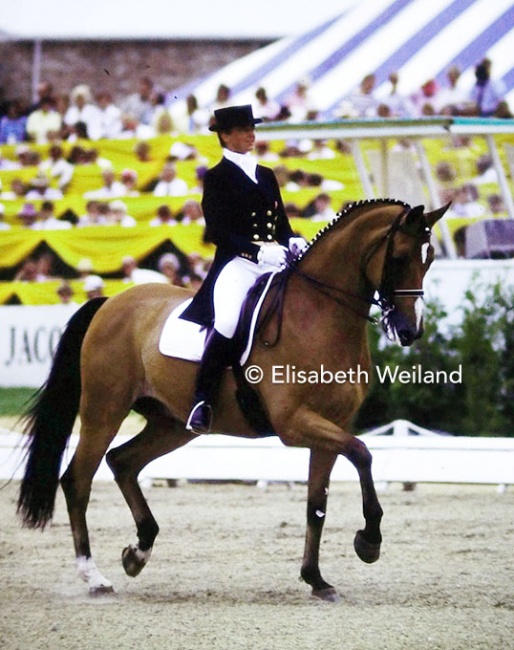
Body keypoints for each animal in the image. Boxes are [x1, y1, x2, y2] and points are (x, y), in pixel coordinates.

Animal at [18, 197, 446, 596]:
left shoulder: (333, 425)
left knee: (122, 462)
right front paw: (368, 542)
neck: (319, 315)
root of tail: (110, 302)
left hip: (172, 424)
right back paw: (94, 577)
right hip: (104, 410)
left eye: (430, 260)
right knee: (78, 479)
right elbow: (362, 453)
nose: (410, 330)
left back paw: (137, 553)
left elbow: (317, 503)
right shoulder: (294, 424)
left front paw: (316, 578)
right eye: (400, 257)